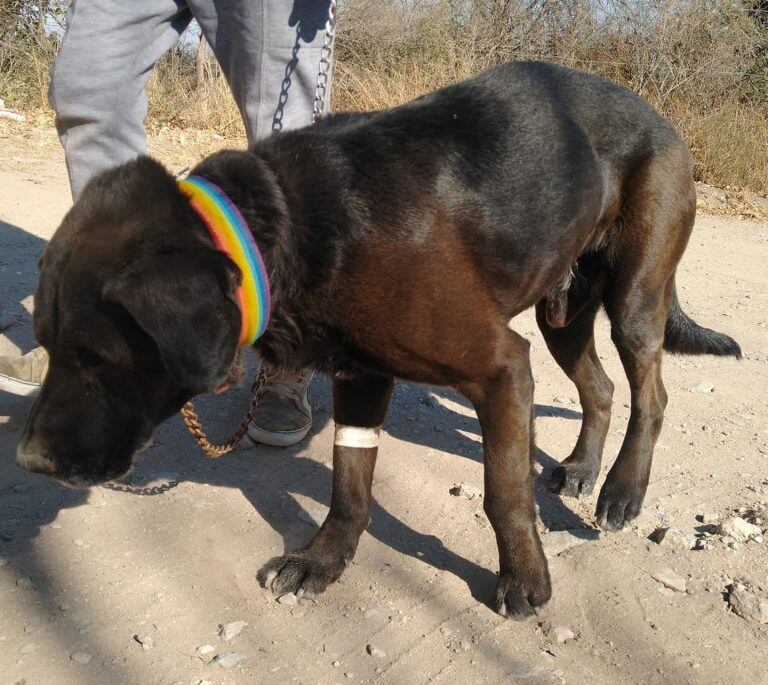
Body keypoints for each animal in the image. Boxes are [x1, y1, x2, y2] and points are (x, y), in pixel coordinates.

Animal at [16, 61, 736, 616]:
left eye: (96, 359)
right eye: (47, 346)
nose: (29, 462)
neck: (289, 222)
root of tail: (662, 119)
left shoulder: (502, 367)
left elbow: (504, 494)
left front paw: (524, 579)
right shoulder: (360, 374)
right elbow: (349, 482)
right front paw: (324, 558)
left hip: (633, 298)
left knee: (651, 394)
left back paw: (622, 490)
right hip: (563, 314)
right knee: (602, 387)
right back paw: (585, 469)